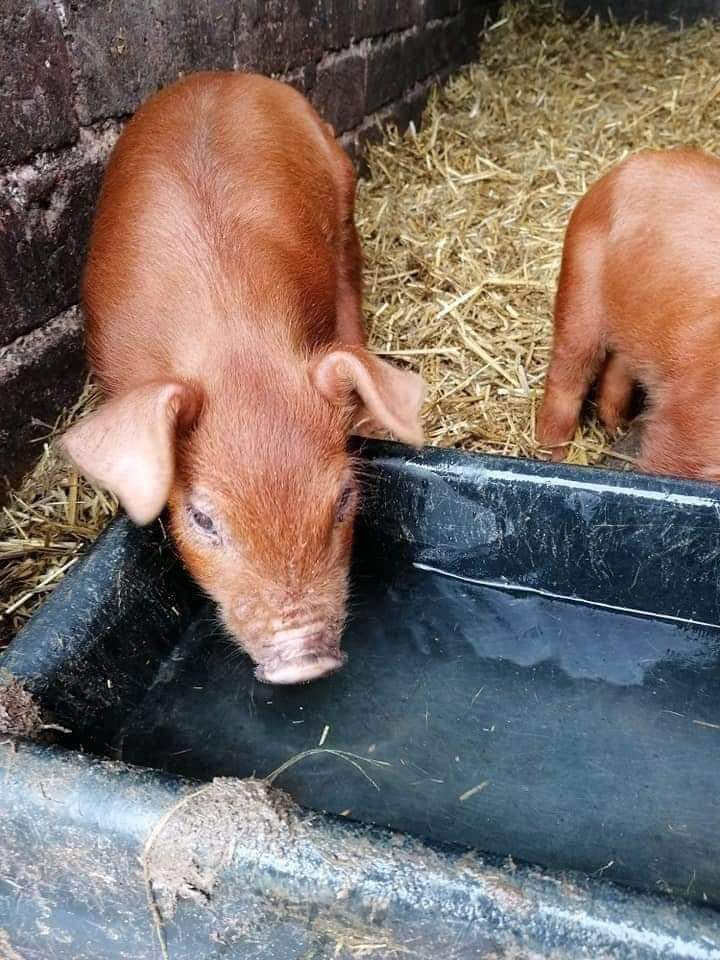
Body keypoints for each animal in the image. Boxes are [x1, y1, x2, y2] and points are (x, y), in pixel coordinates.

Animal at [62, 72, 426, 685]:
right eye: (202, 518)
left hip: (341, 181)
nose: (305, 664)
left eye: (345, 497)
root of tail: (223, 75)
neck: (235, 347)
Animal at [537, 147, 720, 480]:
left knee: (616, 370)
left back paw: (615, 428)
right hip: (580, 288)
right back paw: (553, 454)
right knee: (567, 374)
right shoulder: (686, 422)